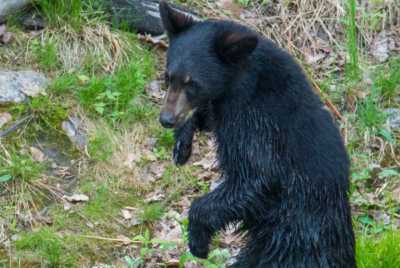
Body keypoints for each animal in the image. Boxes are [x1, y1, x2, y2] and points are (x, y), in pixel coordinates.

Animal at [158, 1, 354, 266]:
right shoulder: (225, 109)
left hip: (291, 239)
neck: (240, 83)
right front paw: (182, 144)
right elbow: (208, 117)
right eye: (168, 77)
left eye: (193, 83)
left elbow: (256, 177)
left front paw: (198, 240)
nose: (166, 120)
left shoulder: (259, 124)